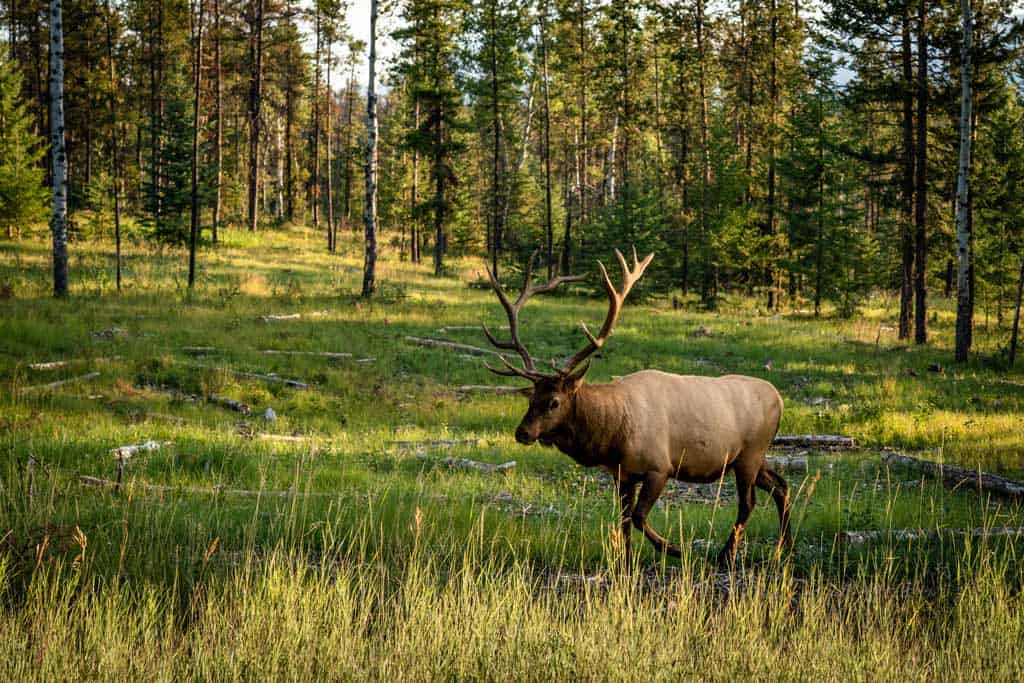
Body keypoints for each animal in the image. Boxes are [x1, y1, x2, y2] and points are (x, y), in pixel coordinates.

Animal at [481, 248, 791, 567]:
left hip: (749, 455)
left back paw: (726, 554)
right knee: (781, 485)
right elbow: (625, 520)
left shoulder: (659, 467)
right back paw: (784, 547)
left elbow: (640, 517)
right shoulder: (623, 474)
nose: (522, 432)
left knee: (748, 502)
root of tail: (779, 399)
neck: (612, 436)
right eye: (531, 397)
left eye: (554, 401)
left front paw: (677, 549)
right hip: (753, 457)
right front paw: (626, 562)